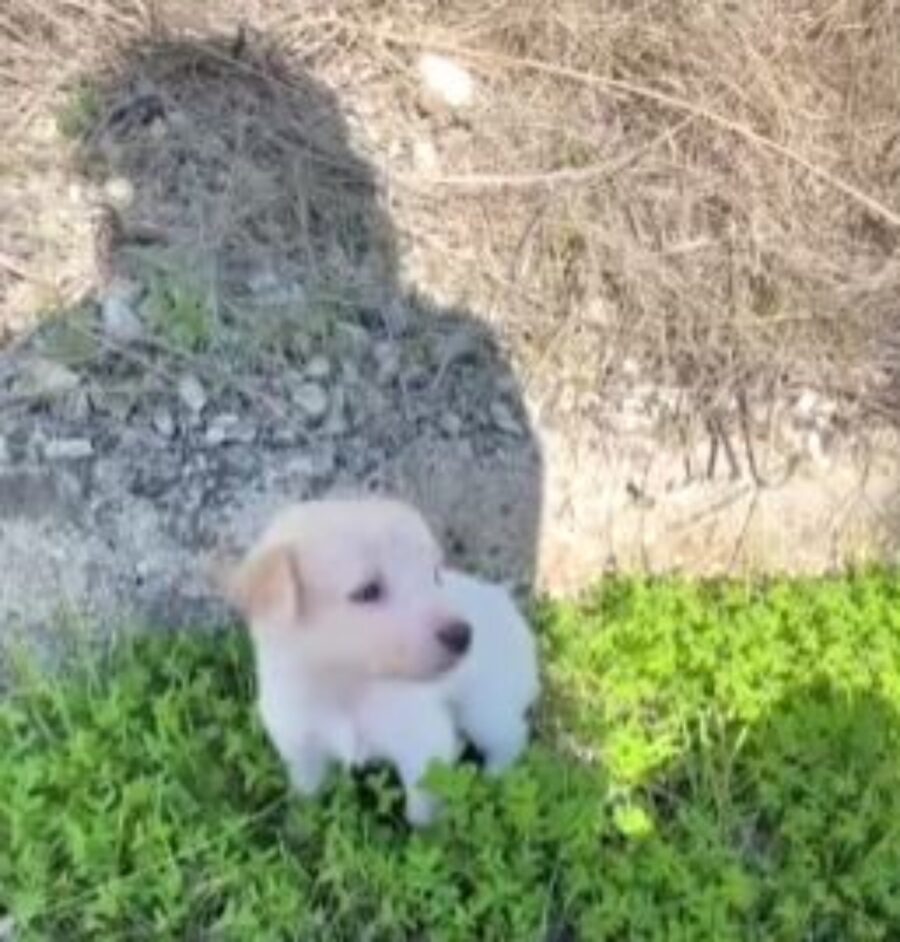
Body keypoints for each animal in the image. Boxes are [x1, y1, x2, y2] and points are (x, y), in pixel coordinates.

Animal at [221, 498, 536, 824]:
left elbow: (421, 809)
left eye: (434, 575)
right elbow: (307, 796)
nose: (463, 635)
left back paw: (495, 777)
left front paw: (426, 835)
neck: (346, 688)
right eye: (367, 591)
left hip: (486, 708)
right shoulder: (301, 749)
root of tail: (506, 603)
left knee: (510, 736)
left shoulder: (423, 746)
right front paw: (301, 826)